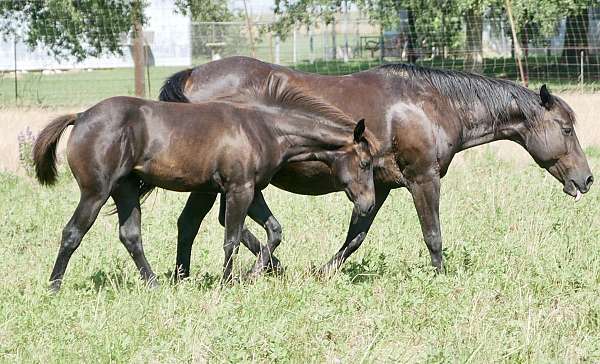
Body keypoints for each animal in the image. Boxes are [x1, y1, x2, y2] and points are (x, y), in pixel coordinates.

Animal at [34, 75, 380, 292]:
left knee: (131, 236)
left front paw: (253, 274)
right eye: (365, 164)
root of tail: (81, 116)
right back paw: (53, 288)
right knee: (72, 233)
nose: (368, 205)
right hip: (96, 192)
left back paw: (155, 285)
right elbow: (232, 238)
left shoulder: (252, 191)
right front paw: (229, 282)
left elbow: (274, 231)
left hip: (125, 190)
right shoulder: (239, 190)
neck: (263, 128)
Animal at [161, 55, 596, 274]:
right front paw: (441, 278)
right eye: (566, 128)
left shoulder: (379, 187)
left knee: (191, 223)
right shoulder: (423, 179)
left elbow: (355, 237)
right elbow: (433, 235)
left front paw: (325, 273)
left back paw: (187, 276)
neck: (431, 104)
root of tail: (193, 75)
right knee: (211, 223)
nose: (588, 179)